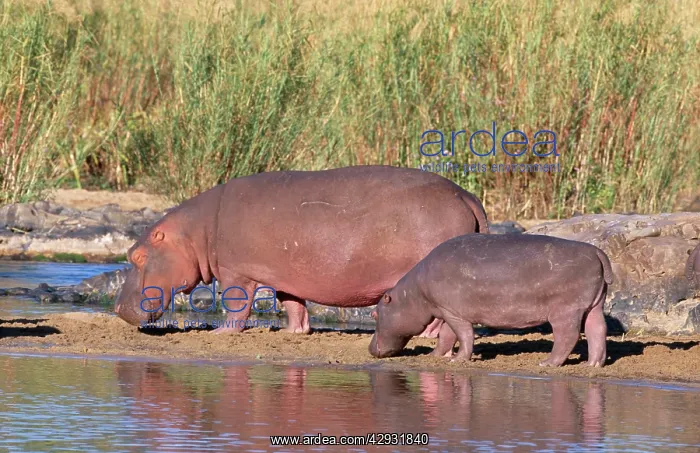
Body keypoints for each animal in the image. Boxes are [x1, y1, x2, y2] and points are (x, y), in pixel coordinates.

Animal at [114, 165, 489, 334]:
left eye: (137, 256)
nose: (117, 306)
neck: (196, 233)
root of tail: (465, 195)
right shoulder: (284, 275)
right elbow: (292, 304)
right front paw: (293, 332)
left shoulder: (236, 271)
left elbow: (236, 304)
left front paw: (221, 332)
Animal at [369, 233, 613, 367]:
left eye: (374, 313)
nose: (370, 348)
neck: (413, 294)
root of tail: (598, 251)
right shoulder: (447, 310)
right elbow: (446, 336)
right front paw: (434, 355)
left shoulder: (453, 313)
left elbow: (464, 335)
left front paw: (458, 360)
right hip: (594, 305)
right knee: (597, 330)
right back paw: (592, 365)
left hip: (565, 311)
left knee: (567, 336)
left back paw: (547, 363)